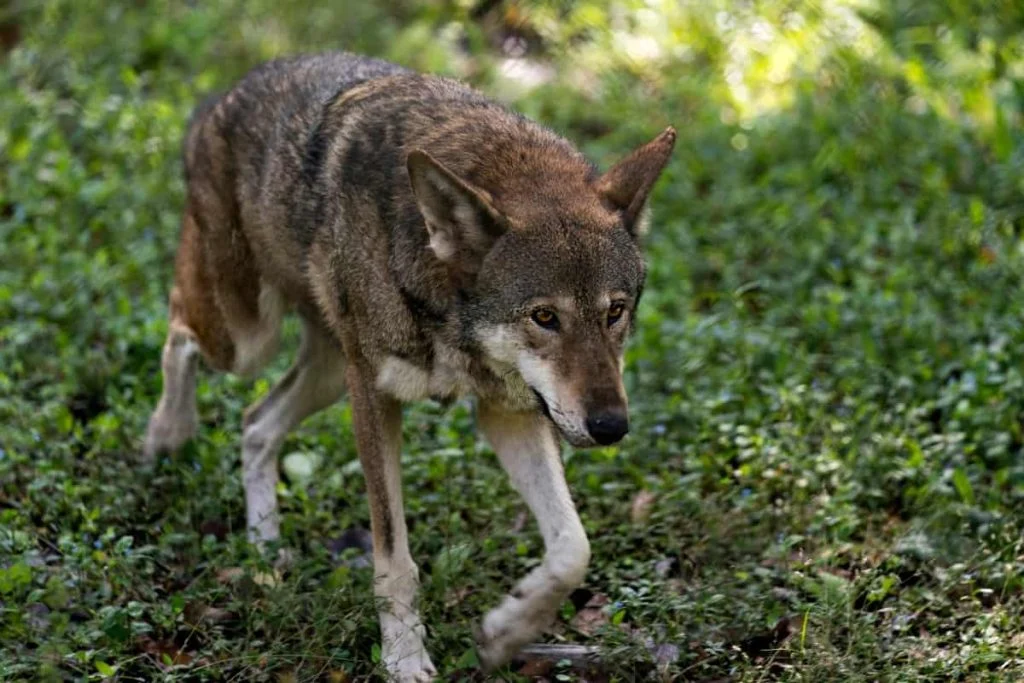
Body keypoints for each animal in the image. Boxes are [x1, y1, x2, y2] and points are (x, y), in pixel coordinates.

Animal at [143, 52, 674, 681]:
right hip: (251, 340)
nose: (612, 426)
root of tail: (222, 96)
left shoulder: (511, 411)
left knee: (254, 423)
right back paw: (166, 434)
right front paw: (404, 658)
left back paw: (266, 554)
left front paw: (505, 632)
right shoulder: (375, 399)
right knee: (178, 333)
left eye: (615, 311)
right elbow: (395, 558)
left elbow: (573, 548)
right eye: (545, 317)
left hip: (325, 372)